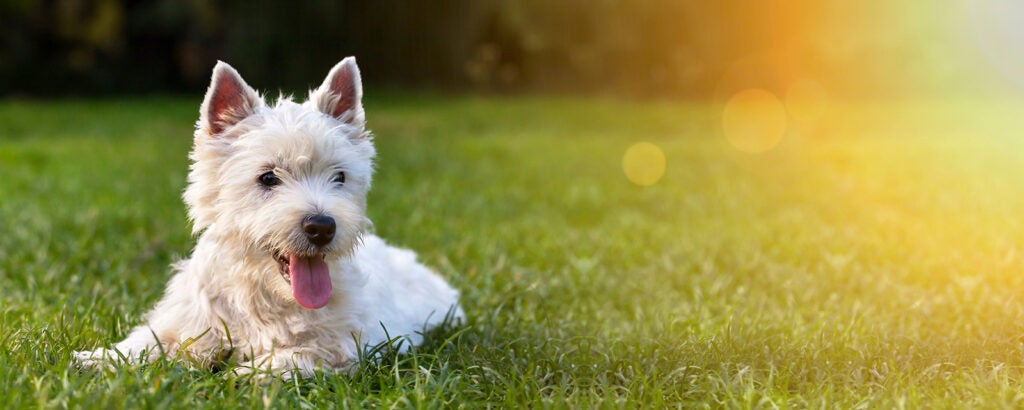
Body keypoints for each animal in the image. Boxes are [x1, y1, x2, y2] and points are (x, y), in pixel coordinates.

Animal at [74, 57, 464, 377]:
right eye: (267, 178)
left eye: (339, 176)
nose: (321, 227)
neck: (266, 294)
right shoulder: (190, 323)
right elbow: (148, 341)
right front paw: (94, 359)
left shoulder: (342, 347)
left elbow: (286, 358)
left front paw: (236, 375)